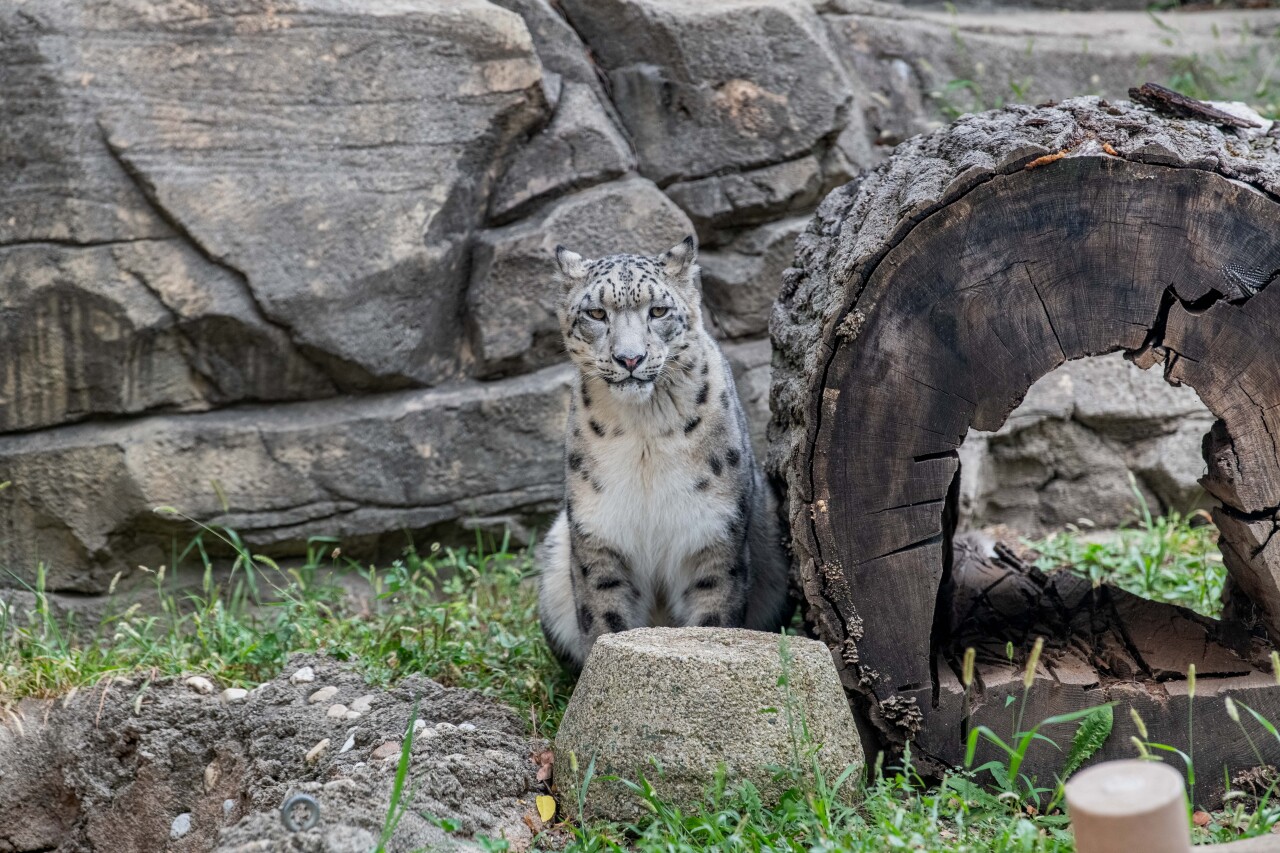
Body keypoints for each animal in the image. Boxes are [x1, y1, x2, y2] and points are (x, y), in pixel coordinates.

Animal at [537, 235, 790, 670]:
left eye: (658, 310)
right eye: (597, 312)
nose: (630, 358)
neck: (645, 437)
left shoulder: (712, 534)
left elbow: (712, 620)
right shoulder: (600, 535)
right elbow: (605, 619)